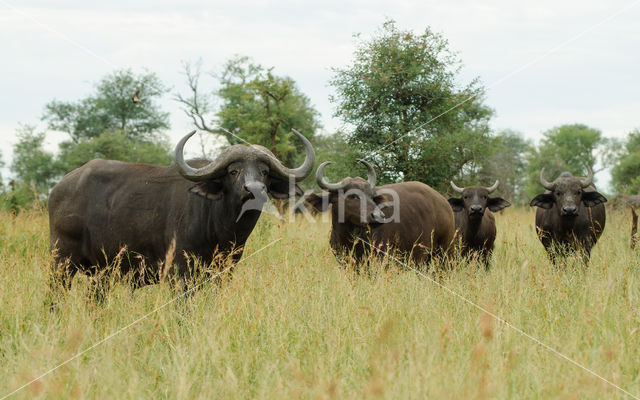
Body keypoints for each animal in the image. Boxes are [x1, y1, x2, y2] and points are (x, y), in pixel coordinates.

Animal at [48, 130, 314, 292]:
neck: (221, 229)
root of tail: (59, 188)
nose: (254, 189)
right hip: (60, 264)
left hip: (100, 274)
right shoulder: (182, 273)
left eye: (265, 172)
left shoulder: (222, 273)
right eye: (233, 171)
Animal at [304, 159, 456, 266]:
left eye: (371, 196)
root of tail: (443, 203)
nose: (378, 216)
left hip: (444, 253)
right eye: (352, 196)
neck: (349, 237)